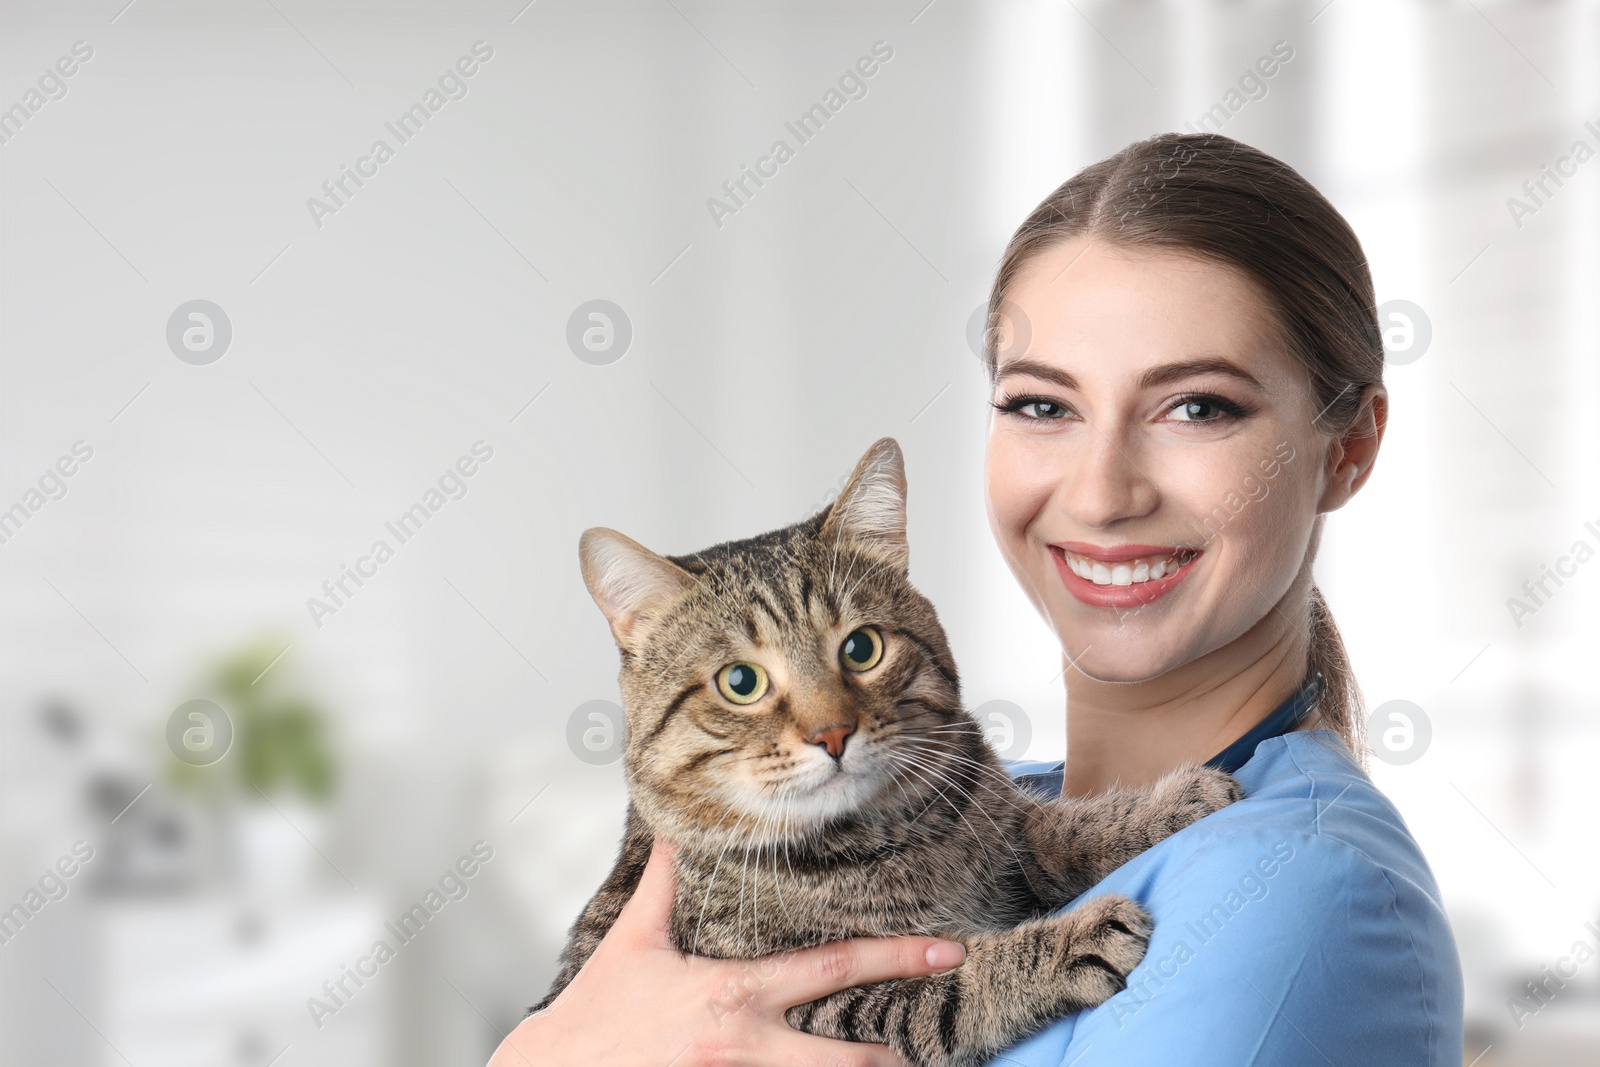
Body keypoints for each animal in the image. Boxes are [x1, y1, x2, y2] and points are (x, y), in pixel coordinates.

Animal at [531, 435, 1241, 1067]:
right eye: (740, 683)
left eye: (862, 647)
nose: (832, 734)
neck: (889, 836)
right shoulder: (799, 1007)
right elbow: (942, 993)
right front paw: (1065, 945)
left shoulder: (1001, 825)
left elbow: (1063, 828)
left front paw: (1168, 804)